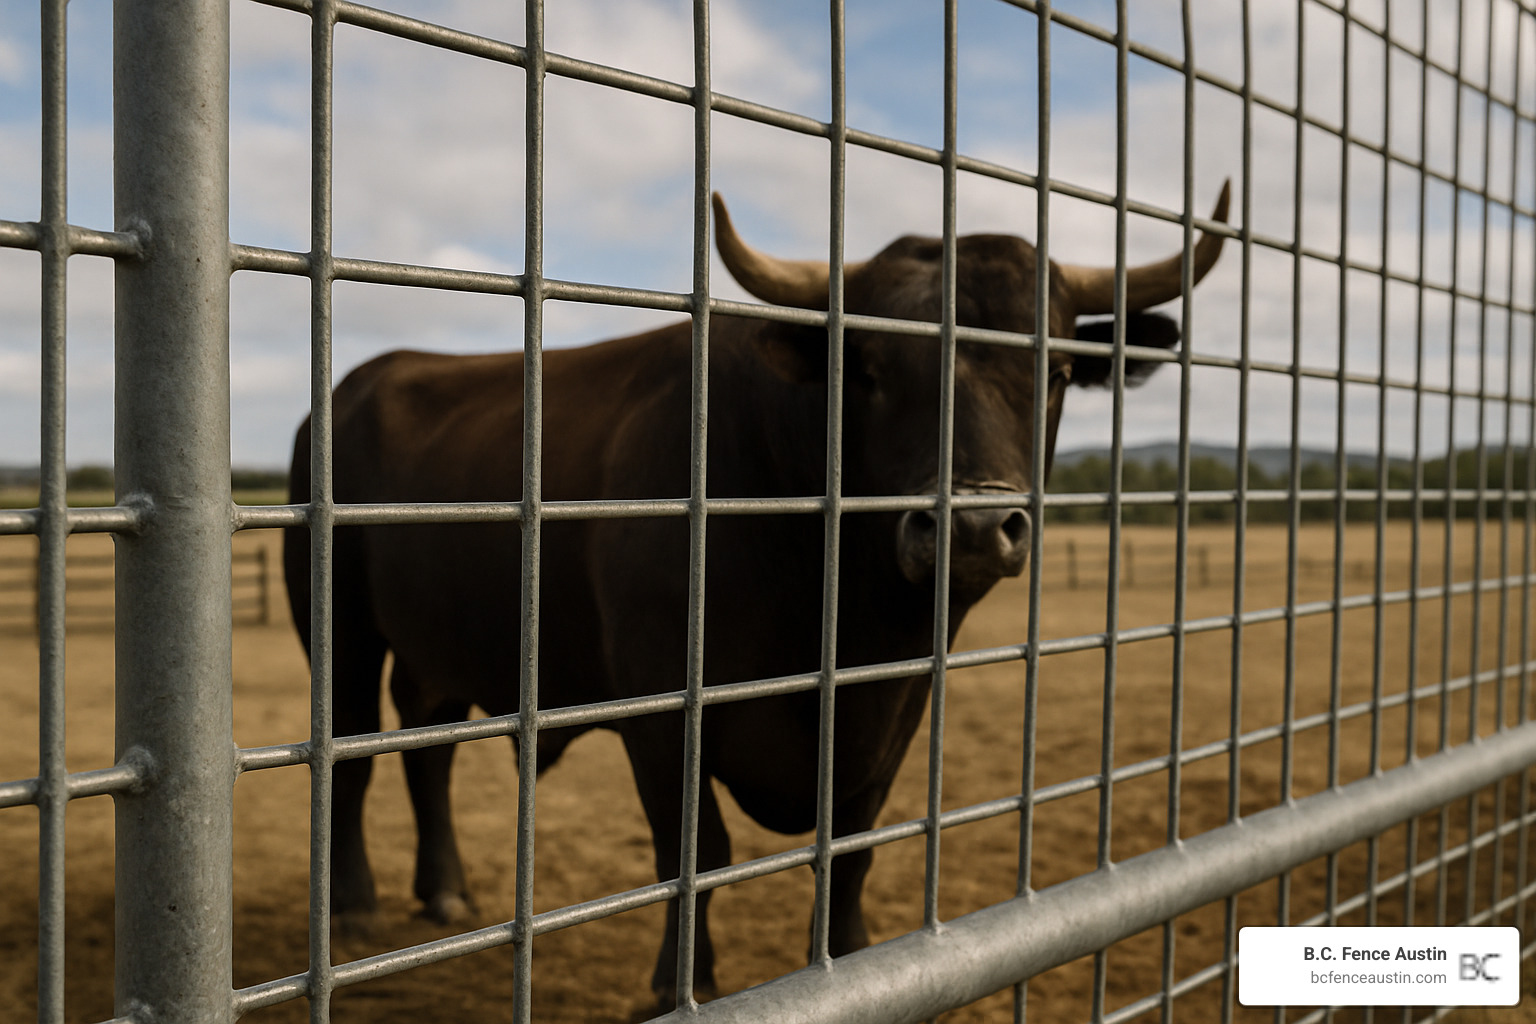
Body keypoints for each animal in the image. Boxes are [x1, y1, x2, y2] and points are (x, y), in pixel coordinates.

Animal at [283, 185, 1229, 1008]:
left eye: (1060, 369)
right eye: (868, 368)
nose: (970, 527)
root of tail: (353, 388)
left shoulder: (893, 713)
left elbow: (852, 850)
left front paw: (853, 957)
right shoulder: (662, 709)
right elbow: (695, 848)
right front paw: (683, 983)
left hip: (439, 645)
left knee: (428, 747)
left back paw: (443, 892)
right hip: (340, 629)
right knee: (354, 753)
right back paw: (354, 906)